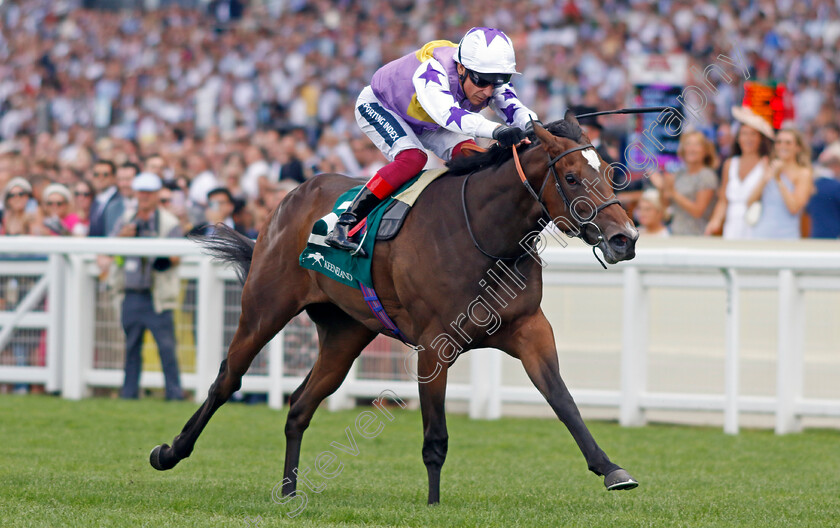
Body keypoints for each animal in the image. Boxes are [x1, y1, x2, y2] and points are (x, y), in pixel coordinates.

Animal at [151, 111, 640, 504]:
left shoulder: (529, 328)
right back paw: (169, 452)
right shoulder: (435, 344)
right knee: (226, 380)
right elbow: (435, 433)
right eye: (572, 178)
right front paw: (433, 503)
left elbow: (562, 399)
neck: (484, 233)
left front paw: (611, 469)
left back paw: (289, 491)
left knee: (300, 404)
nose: (625, 238)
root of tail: (293, 195)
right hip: (264, 308)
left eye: (608, 173)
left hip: (345, 333)